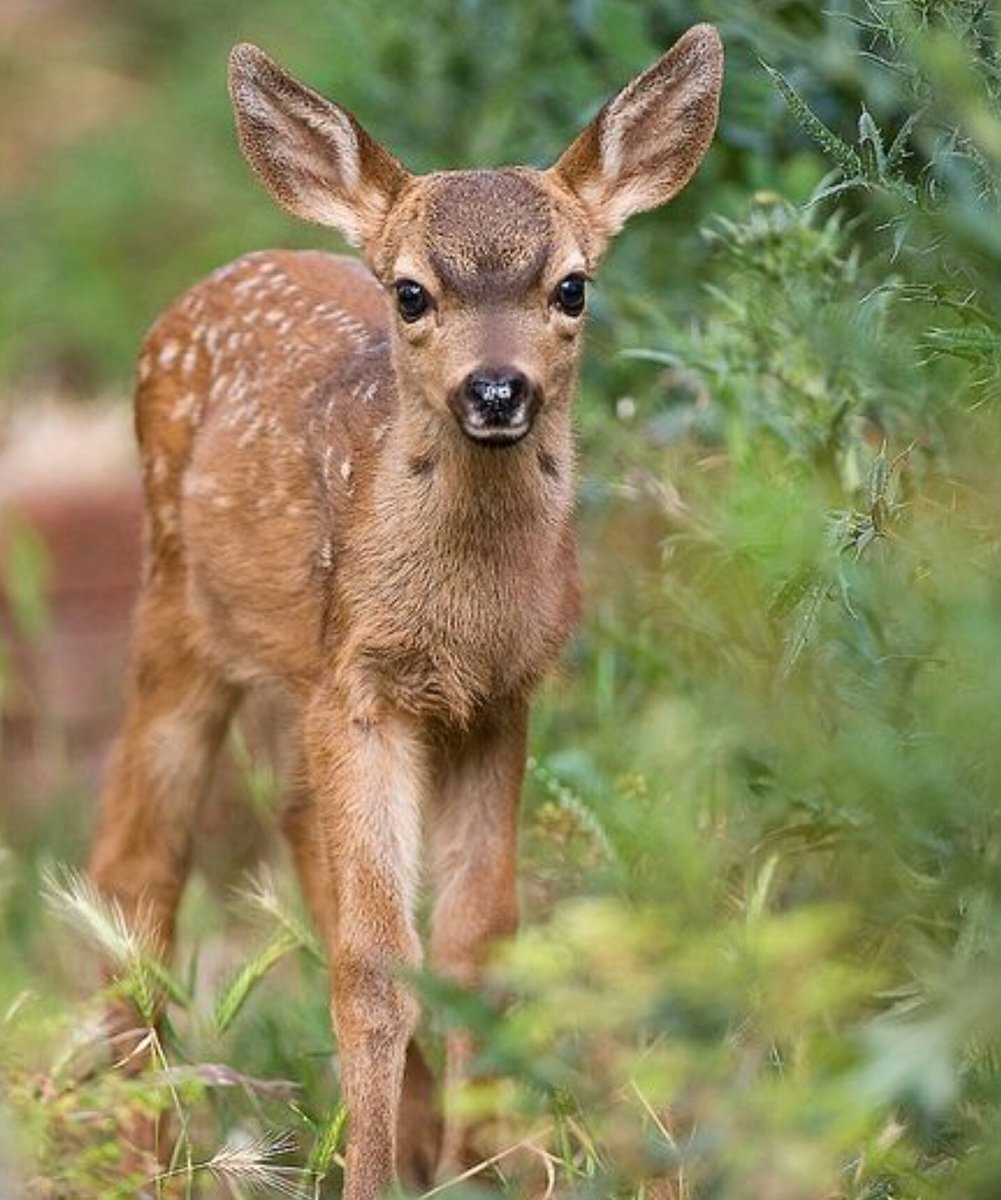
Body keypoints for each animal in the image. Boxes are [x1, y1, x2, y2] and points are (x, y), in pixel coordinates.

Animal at [87, 25, 720, 1200]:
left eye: (571, 286)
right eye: (414, 294)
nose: (495, 389)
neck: (458, 615)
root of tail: (222, 275)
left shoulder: (499, 697)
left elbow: (474, 943)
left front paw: (489, 1162)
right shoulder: (363, 683)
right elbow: (375, 964)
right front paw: (376, 1175)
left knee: (293, 830)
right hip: (176, 613)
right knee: (136, 867)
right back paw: (142, 1154)